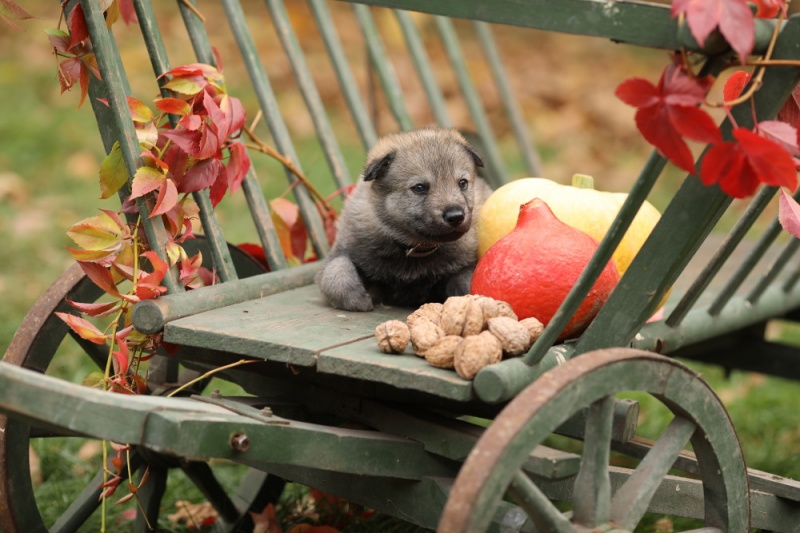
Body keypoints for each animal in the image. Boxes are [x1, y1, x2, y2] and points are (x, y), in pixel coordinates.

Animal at [314, 128, 490, 312]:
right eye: (419, 188)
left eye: (463, 183)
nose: (456, 216)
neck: (414, 248)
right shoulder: (342, 252)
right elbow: (335, 274)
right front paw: (358, 299)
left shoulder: (464, 265)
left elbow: (466, 281)